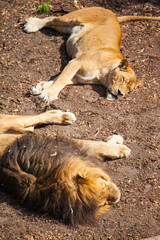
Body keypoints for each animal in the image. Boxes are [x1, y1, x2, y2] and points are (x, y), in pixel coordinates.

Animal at [0, 110, 130, 223]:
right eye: (103, 202)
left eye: (103, 183)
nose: (118, 197)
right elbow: (95, 145)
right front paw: (120, 147)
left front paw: (115, 140)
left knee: (36, 119)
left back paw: (63, 116)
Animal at [24, 6, 160, 102]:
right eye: (123, 79)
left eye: (130, 90)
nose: (120, 94)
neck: (103, 76)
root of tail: (114, 15)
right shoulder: (75, 62)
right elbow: (61, 79)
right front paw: (48, 94)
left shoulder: (77, 77)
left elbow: (59, 79)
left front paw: (41, 87)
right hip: (72, 18)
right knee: (50, 18)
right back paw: (32, 25)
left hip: (65, 28)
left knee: (52, 23)